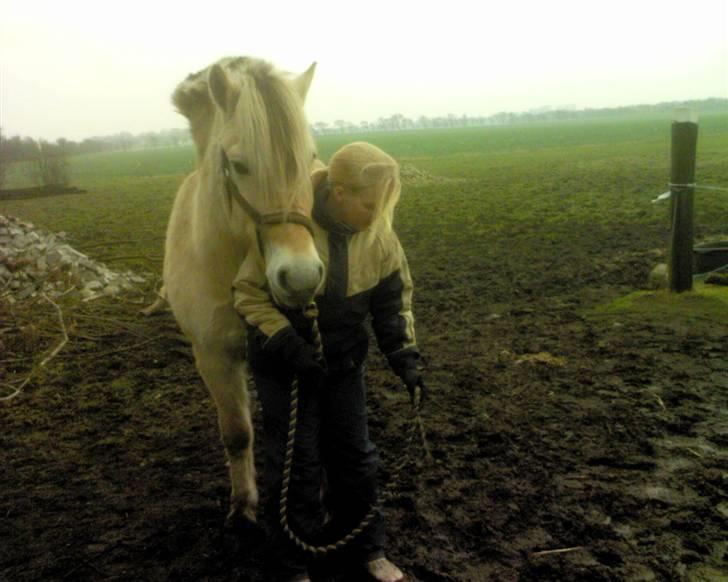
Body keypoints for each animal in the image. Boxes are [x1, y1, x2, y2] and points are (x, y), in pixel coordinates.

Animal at [162, 57, 328, 528]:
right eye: (237, 165)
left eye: (309, 157)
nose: (301, 277)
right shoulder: (213, 356)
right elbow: (237, 433)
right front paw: (244, 506)